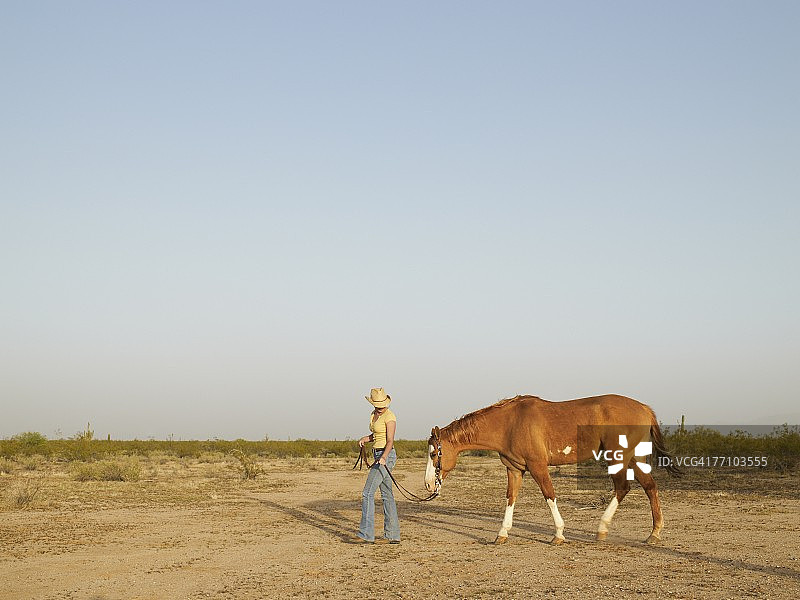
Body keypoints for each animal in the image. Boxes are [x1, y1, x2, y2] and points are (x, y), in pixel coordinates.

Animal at [424, 394, 679, 545]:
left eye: (434, 454)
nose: (428, 484)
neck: (510, 423)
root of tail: (644, 408)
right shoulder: (514, 470)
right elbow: (510, 498)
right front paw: (502, 534)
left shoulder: (538, 466)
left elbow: (549, 495)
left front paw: (558, 534)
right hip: (634, 458)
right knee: (649, 487)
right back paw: (654, 533)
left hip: (619, 457)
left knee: (623, 487)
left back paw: (601, 529)